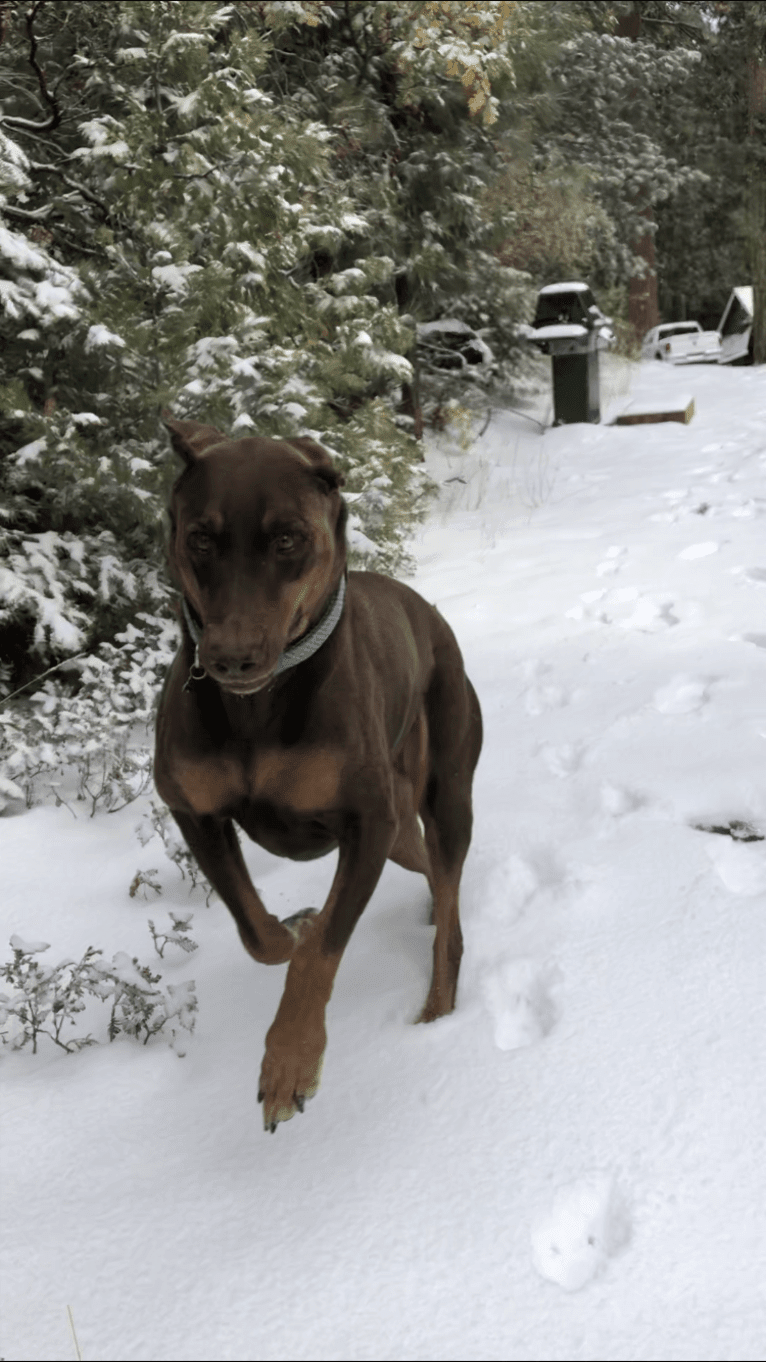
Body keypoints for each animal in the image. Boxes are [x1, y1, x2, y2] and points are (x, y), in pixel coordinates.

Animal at [151, 419, 479, 1133]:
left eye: (288, 539)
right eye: (200, 538)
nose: (231, 658)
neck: (261, 707)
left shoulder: (367, 821)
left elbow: (325, 946)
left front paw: (290, 1065)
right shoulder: (195, 812)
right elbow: (259, 933)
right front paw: (294, 925)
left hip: (444, 793)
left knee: (449, 899)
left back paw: (438, 1006)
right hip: (401, 828)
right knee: (427, 871)